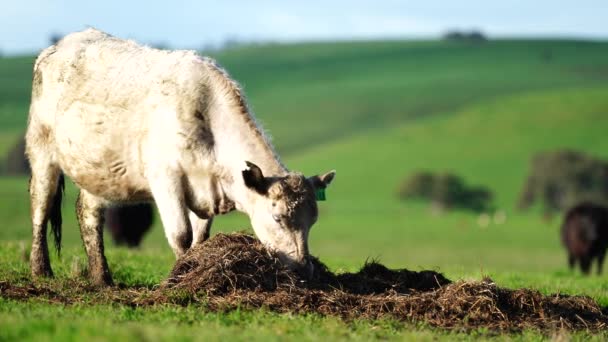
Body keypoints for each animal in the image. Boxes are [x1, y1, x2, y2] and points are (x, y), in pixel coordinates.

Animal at [26, 28, 334, 286]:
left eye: (312, 221)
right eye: (278, 217)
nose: (304, 269)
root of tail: (62, 43)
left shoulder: (205, 190)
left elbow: (199, 238)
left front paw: (196, 269)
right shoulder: (166, 179)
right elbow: (181, 234)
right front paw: (177, 278)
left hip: (98, 169)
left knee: (89, 214)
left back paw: (102, 279)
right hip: (41, 150)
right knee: (40, 207)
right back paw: (41, 271)